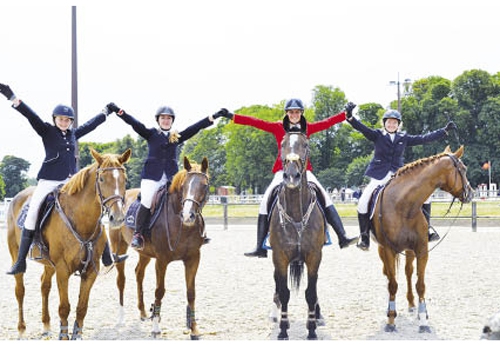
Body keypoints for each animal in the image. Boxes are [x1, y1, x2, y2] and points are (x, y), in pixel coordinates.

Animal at [6, 146, 131, 338]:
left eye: (125, 180)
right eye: (102, 179)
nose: (117, 218)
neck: (81, 220)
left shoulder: (90, 271)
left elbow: (81, 308)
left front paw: (76, 335)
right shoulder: (63, 269)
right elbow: (64, 308)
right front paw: (64, 336)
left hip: (49, 264)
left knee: (44, 285)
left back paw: (46, 325)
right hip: (16, 254)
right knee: (20, 290)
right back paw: (21, 329)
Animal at [111, 157, 209, 338]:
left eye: (204, 185)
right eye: (185, 185)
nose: (188, 216)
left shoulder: (193, 258)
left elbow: (191, 293)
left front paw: (194, 328)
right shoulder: (162, 260)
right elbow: (159, 291)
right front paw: (156, 326)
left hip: (144, 253)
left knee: (139, 273)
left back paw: (143, 312)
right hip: (119, 247)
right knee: (121, 280)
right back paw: (121, 317)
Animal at [268, 132, 326, 338]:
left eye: (306, 145)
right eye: (282, 144)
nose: (292, 176)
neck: (296, 214)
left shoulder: (314, 257)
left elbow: (311, 292)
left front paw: (312, 329)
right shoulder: (280, 258)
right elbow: (284, 292)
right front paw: (283, 329)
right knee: (277, 286)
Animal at [374, 144, 474, 330]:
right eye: (463, 169)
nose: (471, 193)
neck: (404, 205)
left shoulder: (421, 249)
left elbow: (420, 284)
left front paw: (423, 318)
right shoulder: (389, 250)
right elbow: (392, 284)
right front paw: (391, 318)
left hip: (409, 250)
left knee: (408, 272)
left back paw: (412, 304)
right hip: (383, 250)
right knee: (390, 275)